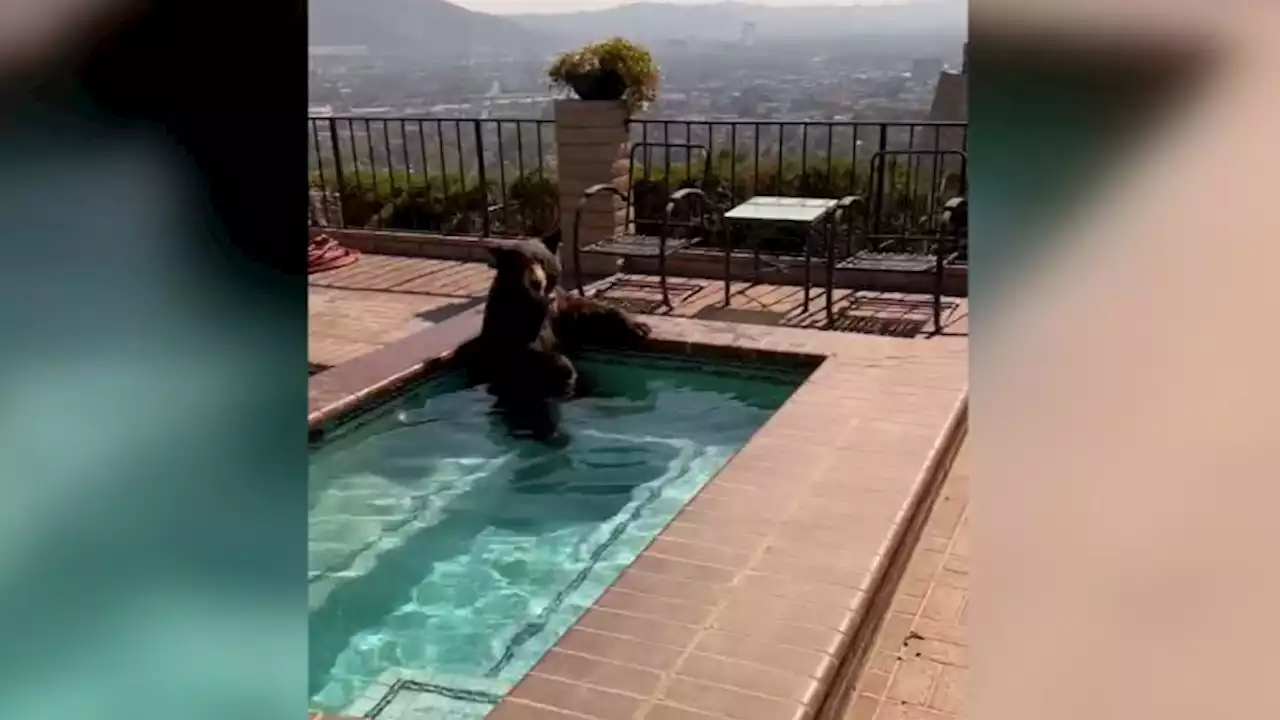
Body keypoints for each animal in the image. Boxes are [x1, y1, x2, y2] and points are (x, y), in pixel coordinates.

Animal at [450, 226, 650, 435]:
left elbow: (587, 313)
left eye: (541, 260)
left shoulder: (560, 309)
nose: (536, 281)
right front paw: (565, 369)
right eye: (519, 263)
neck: (534, 302)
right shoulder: (509, 321)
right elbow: (521, 350)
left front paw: (638, 327)